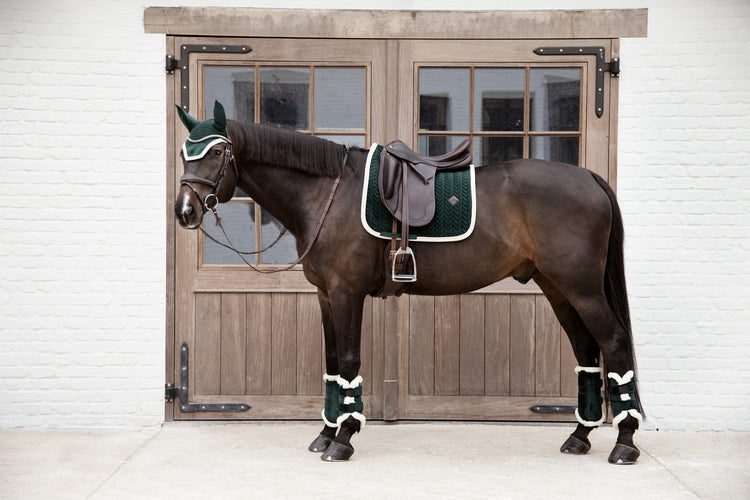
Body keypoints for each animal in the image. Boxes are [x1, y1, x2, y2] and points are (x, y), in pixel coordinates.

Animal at [176, 101, 648, 464]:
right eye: (185, 154)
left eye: (217, 154)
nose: (185, 211)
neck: (328, 194)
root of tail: (588, 177)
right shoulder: (325, 295)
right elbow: (332, 363)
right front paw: (325, 435)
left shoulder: (346, 293)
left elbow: (349, 361)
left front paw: (343, 440)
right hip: (558, 289)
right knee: (587, 351)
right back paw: (579, 436)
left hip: (582, 290)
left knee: (614, 343)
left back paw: (624, 443)